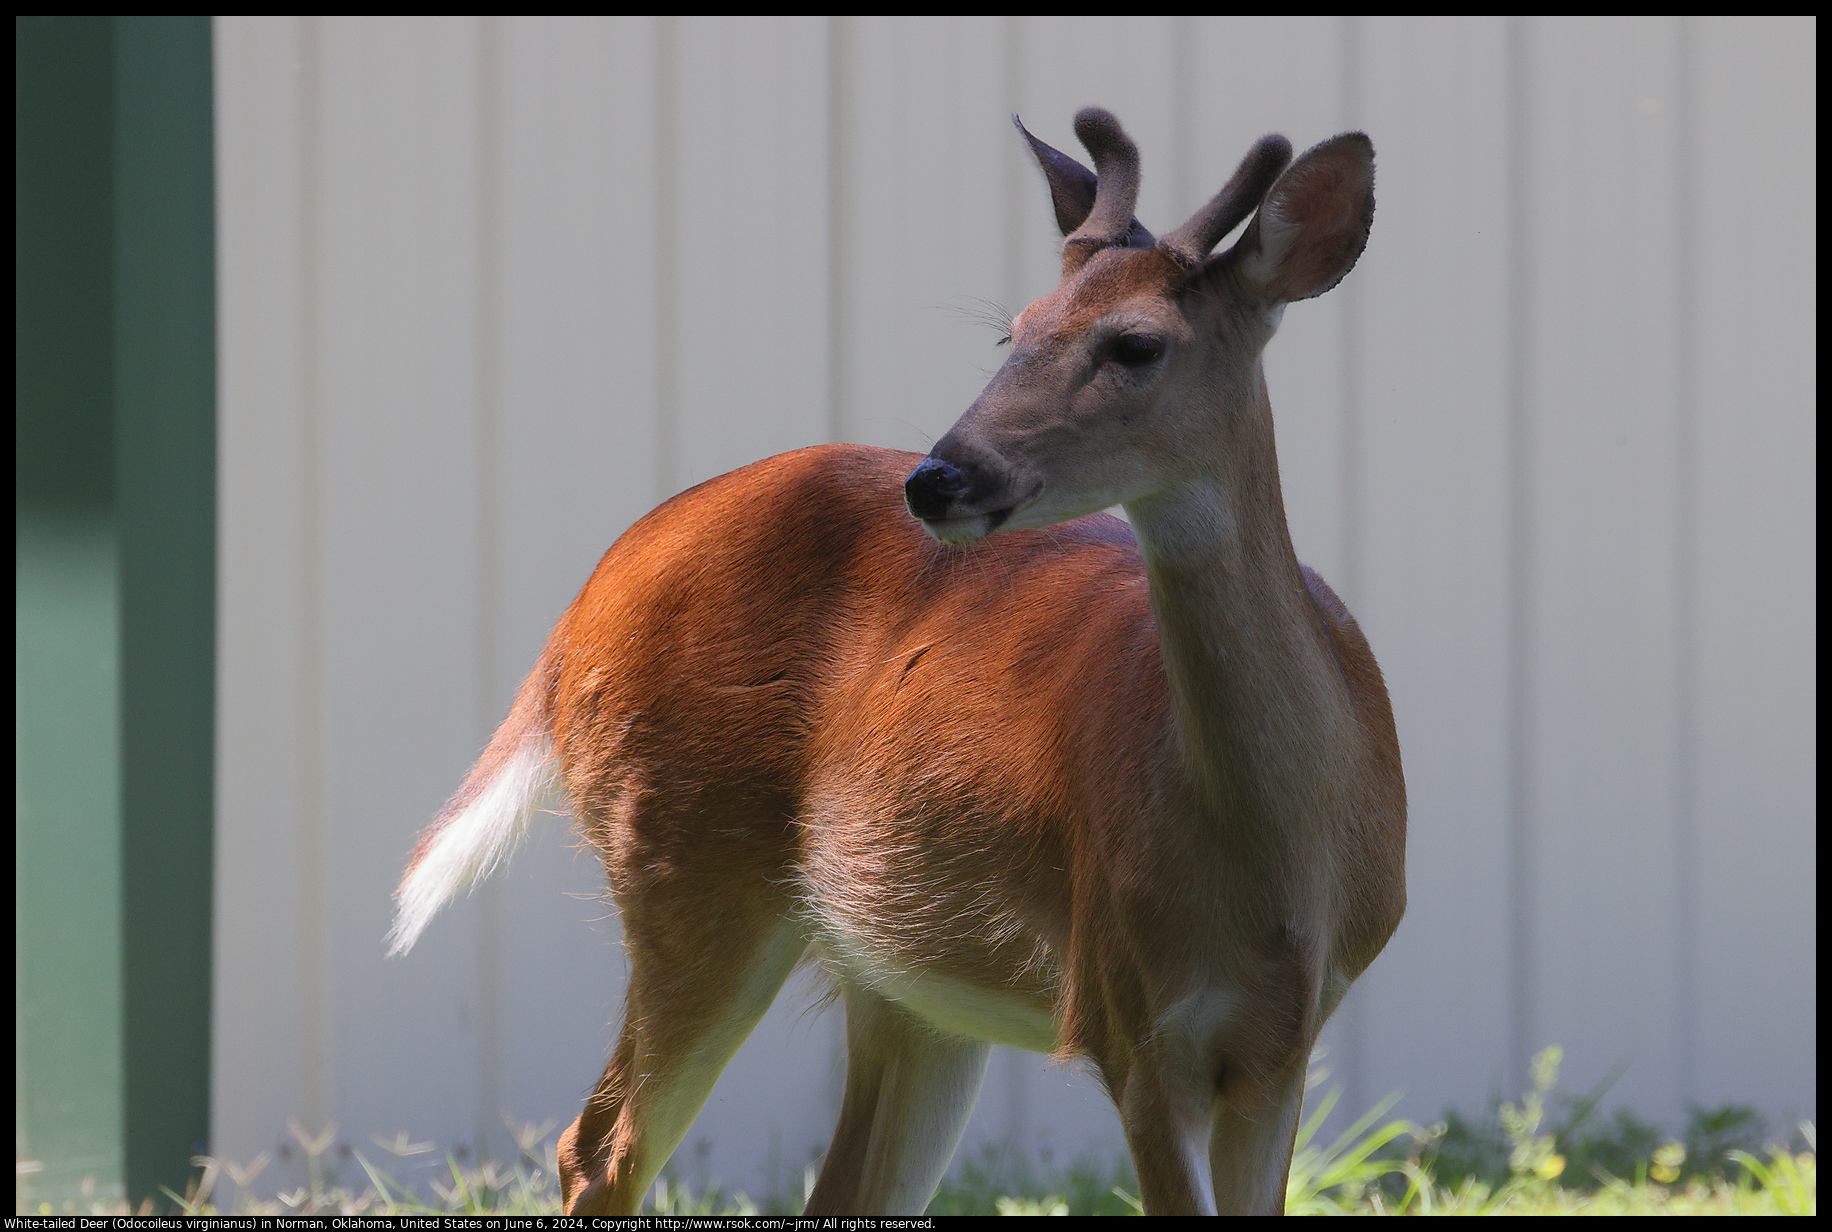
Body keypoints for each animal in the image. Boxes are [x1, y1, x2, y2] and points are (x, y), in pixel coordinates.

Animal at [390, 108, 1399, 1224]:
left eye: (1135, 344)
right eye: (1015, 329)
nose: (940, 476)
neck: (1277, 853)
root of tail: (577, 613)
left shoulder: (1282, 1042)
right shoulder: (1127, 1014)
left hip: (899, 975)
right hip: (678, 854)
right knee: (599, 1143)